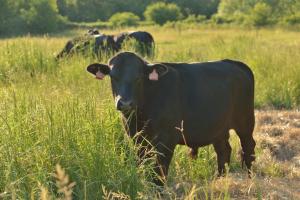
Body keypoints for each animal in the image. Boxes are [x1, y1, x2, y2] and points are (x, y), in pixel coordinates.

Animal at [86, 52, 255, 186]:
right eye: (113, 77)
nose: (125, 103)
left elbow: (159, 170)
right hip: (218, 128)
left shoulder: (166, 140)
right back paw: (220, 179)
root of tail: (232, 63)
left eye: (138, 77)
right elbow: (143, 165)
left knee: (248, 148)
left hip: (245, 122)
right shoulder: (137, 139)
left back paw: (250, 179)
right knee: (223, 151)